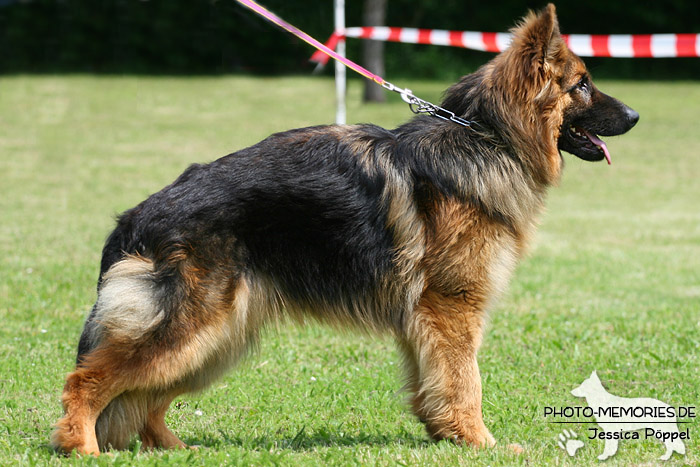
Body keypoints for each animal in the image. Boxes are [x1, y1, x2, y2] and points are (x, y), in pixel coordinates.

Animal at [52, 4, 636, 458]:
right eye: (582, 85)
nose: (635, 115)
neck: (487, 136)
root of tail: (136, 217)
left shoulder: (423, 319)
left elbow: (434, 381)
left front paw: (444, 435)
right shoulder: (452, 309)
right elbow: (463, 381)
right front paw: (479, 442)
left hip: (216, 337)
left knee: (143, 398)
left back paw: (173, 448)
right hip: (192, 328)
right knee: (87, 381)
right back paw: (81, 446)